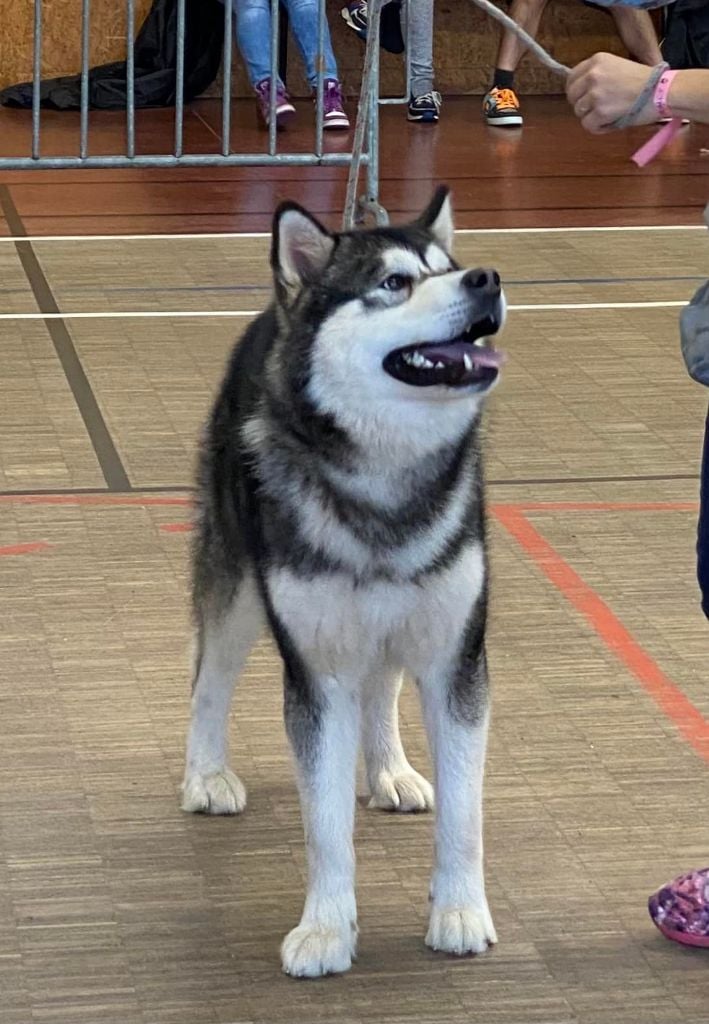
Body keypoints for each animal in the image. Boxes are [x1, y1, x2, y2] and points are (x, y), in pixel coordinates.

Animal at [182, 188, 504, 978]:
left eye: (446, 267)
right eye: (394, 282)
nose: (486, 279)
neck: (384, 479)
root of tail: (276, 309)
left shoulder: (456, 659)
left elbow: (466, 814)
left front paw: (459, 911)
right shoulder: (316, 670)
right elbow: (323, 825)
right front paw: (326, 928)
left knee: (381, 682)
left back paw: (388, 767)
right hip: (240, 587)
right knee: (210, 676)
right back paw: (204, 775)